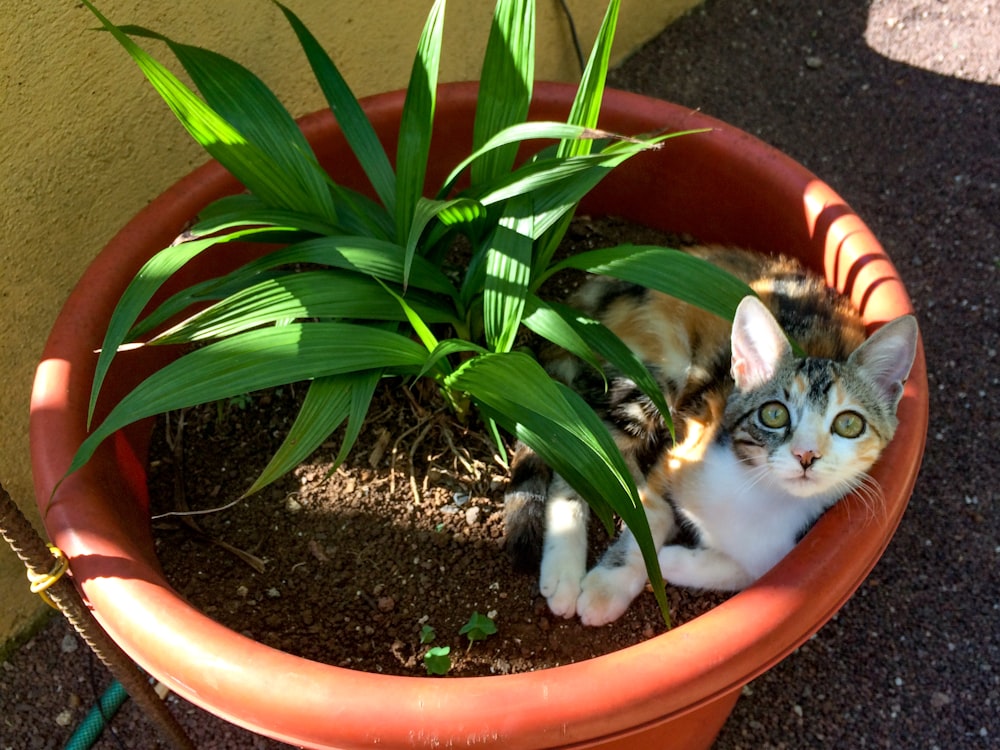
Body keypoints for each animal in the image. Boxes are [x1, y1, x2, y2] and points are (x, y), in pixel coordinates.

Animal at [504, 248, 916, 628]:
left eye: (849, 424)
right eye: (774, 414)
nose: (806, 455)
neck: (759, 493)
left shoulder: (786, 550)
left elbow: (751, 572)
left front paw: (671, 560)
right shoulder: (686, 448)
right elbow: (650, 516)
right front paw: (608, 587)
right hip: (659, 374)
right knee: (586, 459)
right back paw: (563, 573)